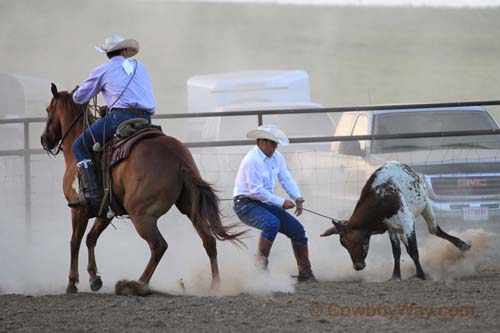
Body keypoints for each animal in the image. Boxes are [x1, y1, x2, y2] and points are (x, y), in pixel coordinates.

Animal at [41, 84, 244, 294]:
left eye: (48, 110)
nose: (44, 140)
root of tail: (179, 158)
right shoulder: (105, 211)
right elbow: (91, 239)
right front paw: (94, 278)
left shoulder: (78, 209)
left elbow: (75, 242)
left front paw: (72, 282)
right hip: (189, 207)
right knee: (209, 241)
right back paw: (215, 286)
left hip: (141, 214)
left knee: (158, 246)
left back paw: (136, 284)